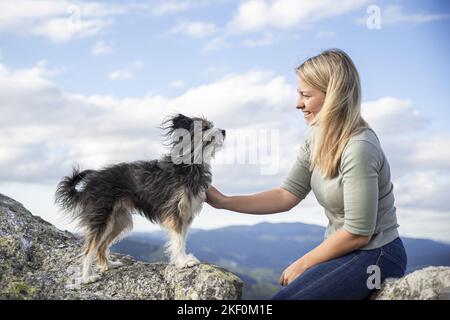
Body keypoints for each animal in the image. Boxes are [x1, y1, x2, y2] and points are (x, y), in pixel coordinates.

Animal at [55, 114, 225, 284]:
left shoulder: (186, 215)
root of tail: (88, 185)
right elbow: (178, 240)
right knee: (89, 249)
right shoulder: (175, 212)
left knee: (101, 246)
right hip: (101, 218)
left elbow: (182, 239)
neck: (188, 165)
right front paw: (183, 262)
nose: (224, 131)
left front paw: (181, 259)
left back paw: (109, 264)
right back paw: (86, 277)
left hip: (120, 220)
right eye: (205, 128)